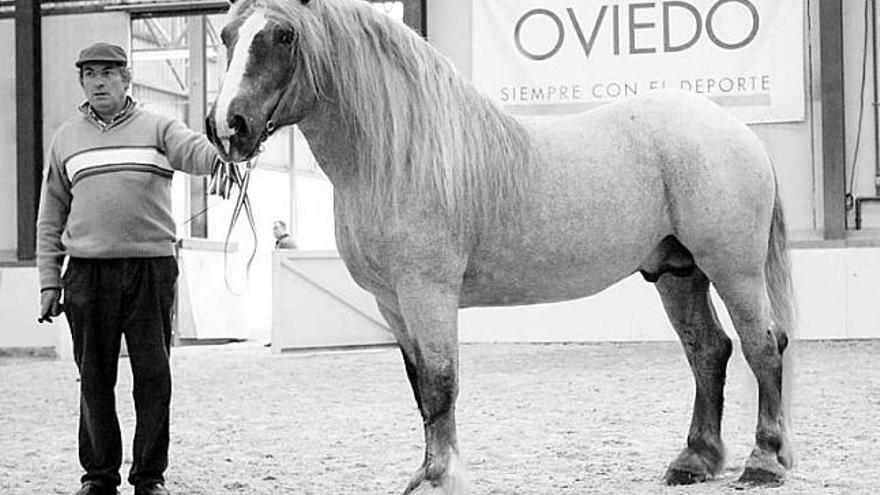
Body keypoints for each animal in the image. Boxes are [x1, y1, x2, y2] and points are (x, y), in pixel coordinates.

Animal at [205, 0, 792, 490]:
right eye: (227, 34)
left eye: (283, 36)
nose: (227, 126)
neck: (398, 160)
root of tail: (735, 130)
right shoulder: (391, 303)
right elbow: (420, 387)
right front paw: (427, 472)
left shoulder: (428, 293)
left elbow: (441, 382)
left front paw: (442, 478)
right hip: (677, 271)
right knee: (708, 351)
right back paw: (694, 461)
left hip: (733, 270)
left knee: (762, 345)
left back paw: (764, 462)